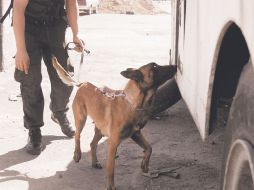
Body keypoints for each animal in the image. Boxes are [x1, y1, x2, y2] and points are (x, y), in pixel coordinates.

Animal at [50, 56, 176, 190]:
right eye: (154, 67)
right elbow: (111, 168)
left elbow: (149, 148)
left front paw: (144, 165)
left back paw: (95, 162)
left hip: (100, 130)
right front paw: (111, 185)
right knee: (77, 136)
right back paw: (77, 154)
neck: (133, 103)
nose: (175, 66)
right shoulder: (113, 143)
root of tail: (84, 83)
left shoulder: (136, 134)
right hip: (81, 119)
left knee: (92, 144)